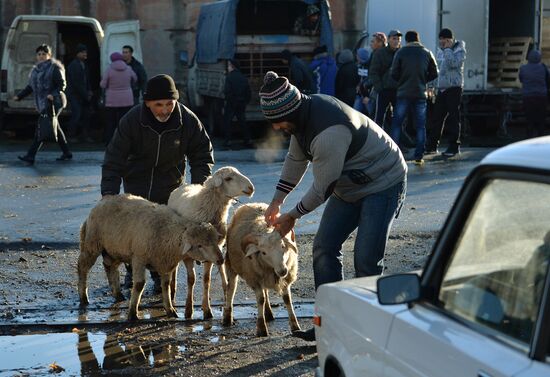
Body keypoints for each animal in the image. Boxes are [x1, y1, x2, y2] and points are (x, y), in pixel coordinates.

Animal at [78, 194, 224, 320]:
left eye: (215, 240)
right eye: (199, 245)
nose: (221, 259)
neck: (167, 232)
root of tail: (103, 200)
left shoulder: (165, 263)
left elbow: (166, 285)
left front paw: (170, 310)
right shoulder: (139, 258)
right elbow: (139, 285)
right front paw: (132, 313)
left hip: (115, 249)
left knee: (110, 267)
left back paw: (118, 295)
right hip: (92, 243)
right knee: (82, 267)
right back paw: (84, 297)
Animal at [167, 166, 256, 318]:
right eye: (228, 178)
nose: (251, 188)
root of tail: (185, 185)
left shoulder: (212, 251)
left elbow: (206, 280)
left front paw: (207, 309)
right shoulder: (188, 253)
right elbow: (191, 280)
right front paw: (188, 309)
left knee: (220, 268)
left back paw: (225, 288)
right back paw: (172, 289)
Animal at [223, 204, 302, 336]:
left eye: (283, 246)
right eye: (263, 252)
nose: (282, 271)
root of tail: (253, 204)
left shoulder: (285, 279)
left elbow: (287, 299)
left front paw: (295, 326)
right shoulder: (254, 279)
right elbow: (260, 300)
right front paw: (261, 329)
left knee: (265, 291)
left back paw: (268, 313)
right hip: (232, 264)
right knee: (231, 289)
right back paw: (227, 319)